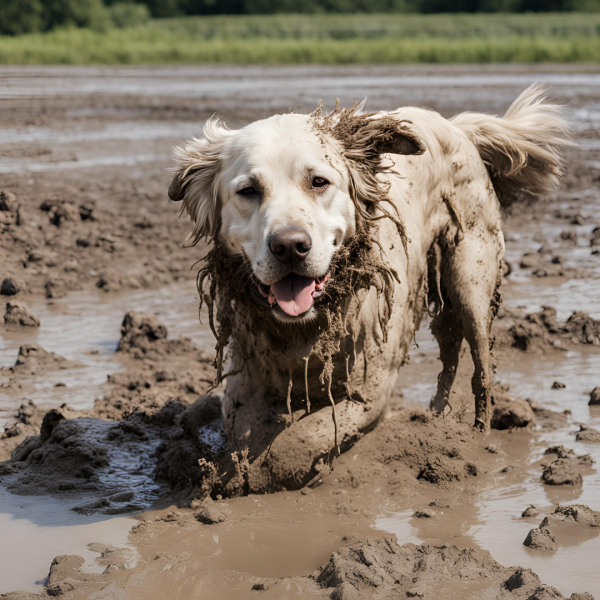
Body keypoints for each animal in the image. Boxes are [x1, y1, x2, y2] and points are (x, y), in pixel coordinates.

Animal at [169, 86, 572, 492]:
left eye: (318, 181)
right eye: (248, 190)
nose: (290, 246)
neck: (305, 326)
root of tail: (456, 125)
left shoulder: (371, 386)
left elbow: (305, 436)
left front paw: (273, 468)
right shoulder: (247, 381)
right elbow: (244, 428)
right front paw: (234, 469)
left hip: (470, 275)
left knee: (481, 364)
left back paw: (473, 436)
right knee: (449, 351)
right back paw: (437, 421)